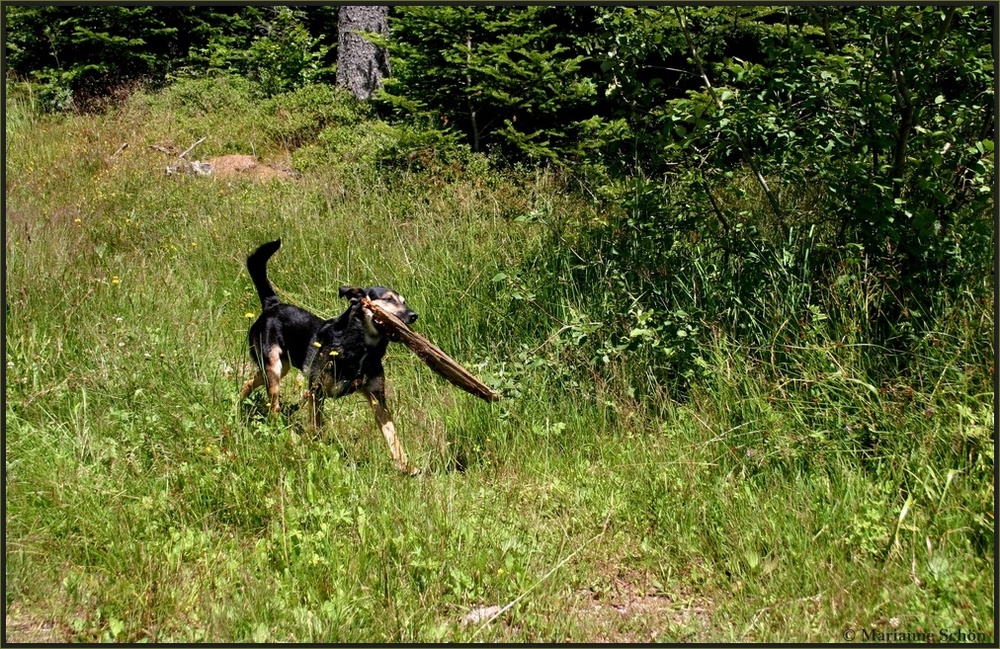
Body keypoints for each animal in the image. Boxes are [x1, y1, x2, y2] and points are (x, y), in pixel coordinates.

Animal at [238, 238, 418, 470]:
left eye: (404, 301)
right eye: (388, 299)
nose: (414, 315)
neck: (359, 347)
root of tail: (272, 305)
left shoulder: (377, 396)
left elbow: (392, 434)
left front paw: (405, 465)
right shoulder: (317, 391)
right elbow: (317, 426)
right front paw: (316, 450)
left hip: (278, 368)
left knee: (250, 382)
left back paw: (238, 403)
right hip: (274, 368)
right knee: (274, 404)